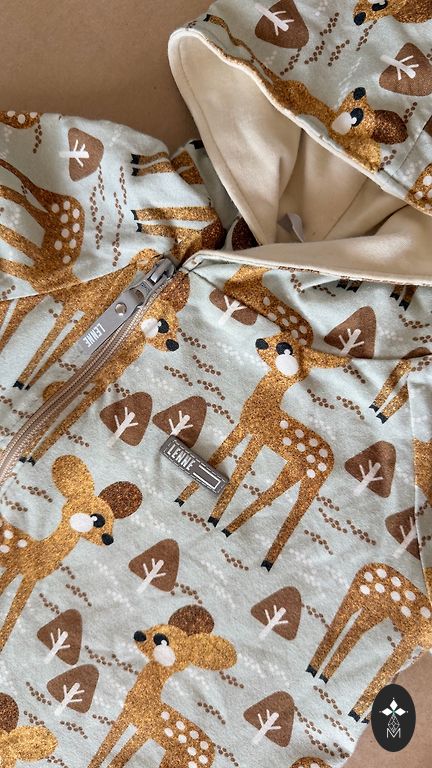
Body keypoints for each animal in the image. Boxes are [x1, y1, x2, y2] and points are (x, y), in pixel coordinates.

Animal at [0, 454, 142, 652]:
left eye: (113, 521)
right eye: (98, 519)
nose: (109, 539)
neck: (39, 547)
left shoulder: (18, 571)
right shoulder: (27, 575)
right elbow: (12, 613)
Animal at [88, 605, 236, 768]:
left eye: (160, 639)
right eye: (153, 628)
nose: (138, 634)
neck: (150, 699)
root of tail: (213, 754)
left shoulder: (145, 729)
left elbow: (123, 753)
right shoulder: (125, 715)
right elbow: (107, 745)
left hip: (184, 761)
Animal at [176, 265, 346, 570]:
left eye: (284, 349)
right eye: (276, 339)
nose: (259, 340)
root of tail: (331, 459)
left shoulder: (258, 436)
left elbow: (240, 470)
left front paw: (213, 515)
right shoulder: (243, 427)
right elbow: (219, 456)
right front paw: (184, 499)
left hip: (311, 480)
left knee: (295, 513)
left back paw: (259, 555)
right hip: (293, 471)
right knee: (273, 493)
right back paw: (234, 533)